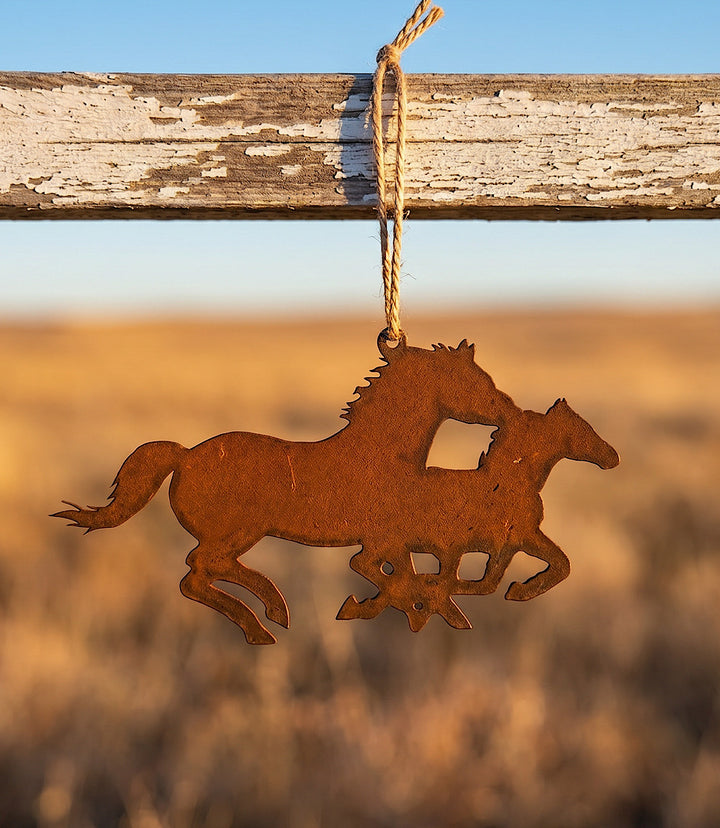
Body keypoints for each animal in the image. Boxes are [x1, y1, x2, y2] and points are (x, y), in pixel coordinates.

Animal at [53, 335, 521, 644]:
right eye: (475, 380)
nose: (510, 411)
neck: (382, 454)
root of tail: (184, 456)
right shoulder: (384, 539)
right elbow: (395, 576)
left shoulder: (391, 541)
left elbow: (403, 575)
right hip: (239, 530)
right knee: (198, 571)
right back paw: (266, 619)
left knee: (203, 573)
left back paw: (271, 614)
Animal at [337, 398, 619, 631]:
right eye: (582, 429)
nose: (613, 457)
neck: (509, 482)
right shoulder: (519, 537)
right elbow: (557, 565)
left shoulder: (511, 542)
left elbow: (496, 579)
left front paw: (513, 589)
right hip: (388, 543)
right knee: (363, 563)